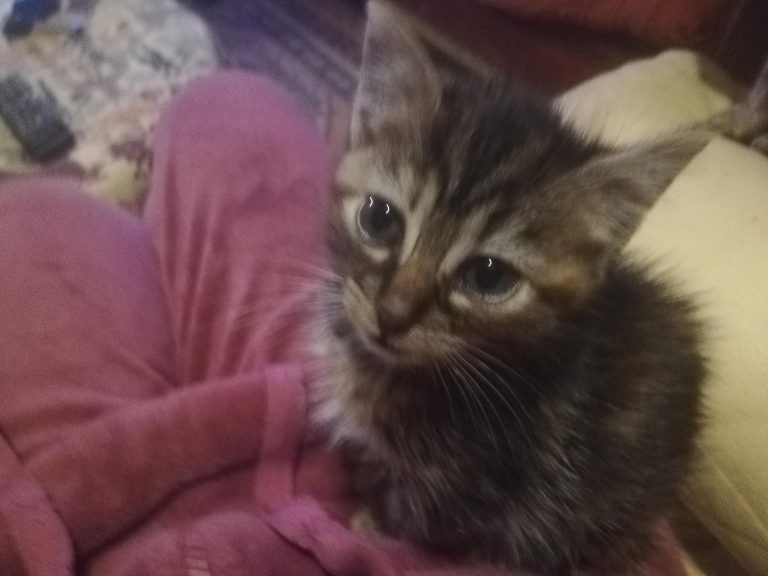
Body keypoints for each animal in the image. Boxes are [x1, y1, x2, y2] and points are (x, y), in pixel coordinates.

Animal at [309, 2, 768, 573]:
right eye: (379, 220)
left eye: (488, 277)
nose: (391, 316)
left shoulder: (480, 484)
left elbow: (418, 514)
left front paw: (368, 522)